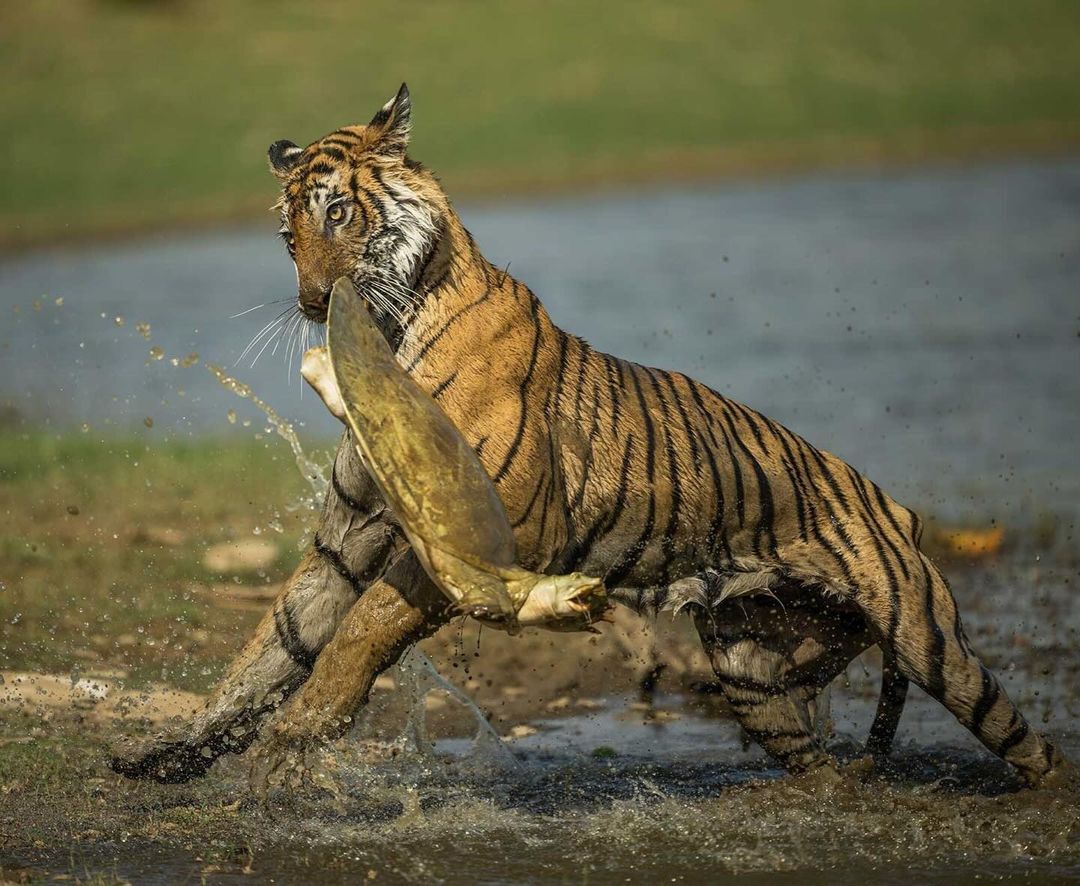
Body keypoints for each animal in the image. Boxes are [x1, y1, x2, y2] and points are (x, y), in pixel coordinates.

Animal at [111, 84, 1062, 790]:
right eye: (287, 234)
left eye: (338, 215)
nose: (312, 302)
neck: (389, 334)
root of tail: (895, 504)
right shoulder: (349, 538)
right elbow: (269, 650)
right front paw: (169, 755)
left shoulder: (487, 533)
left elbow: (359, 634)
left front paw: (293, 742)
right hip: (754, 669)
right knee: (820, 764)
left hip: (927, 639)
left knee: (1028, 743)